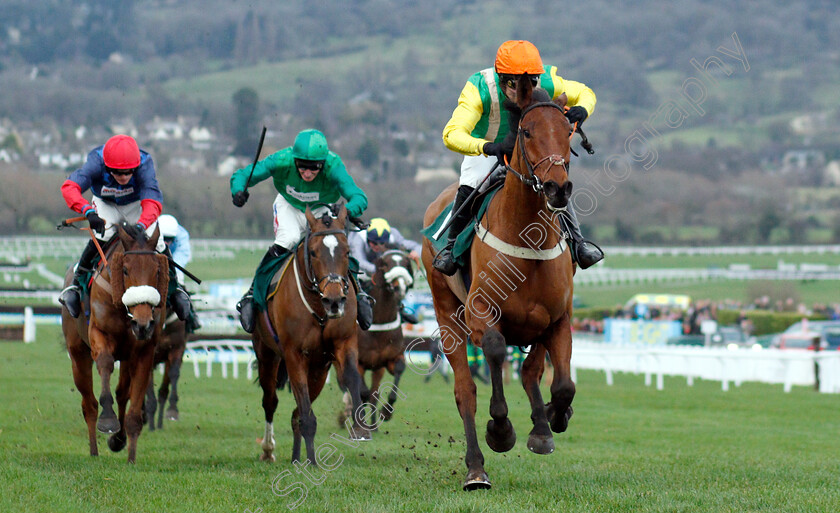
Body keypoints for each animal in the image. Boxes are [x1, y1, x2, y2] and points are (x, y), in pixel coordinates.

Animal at [61, 222, 171, 462]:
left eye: (157, 270)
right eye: (126, 269)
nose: (142, 323)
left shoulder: (144, 350)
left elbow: (133, 407)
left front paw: (130, 456)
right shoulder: (99, 334)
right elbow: (104, 362)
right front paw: (108, 419)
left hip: (127, 356)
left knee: (122, 394)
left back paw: (118, 440)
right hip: (77, 354)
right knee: (89, 404)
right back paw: (94, 450)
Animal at [249, 205, 368, 464]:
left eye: (347, 251)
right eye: (313, 252)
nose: (334, 300)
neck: (318, 307)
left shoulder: (343, 343)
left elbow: (352, 377)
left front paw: (360, 427)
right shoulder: (294, 353)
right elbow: (304, 411)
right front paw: (312, 462)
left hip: (319, 370)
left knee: (296, 413)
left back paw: (296, 457)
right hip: (267, 354)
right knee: (270, 401)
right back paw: (268, 450)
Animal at [352, 251, 414, 424]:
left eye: (405, 263)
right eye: (386, 264)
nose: (400, 287)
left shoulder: (392, 358)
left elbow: (398, 372)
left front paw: (386, 412)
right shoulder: (358, 362)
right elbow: (363, 394)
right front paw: (362, 423)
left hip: (377, 368)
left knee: (374, 394)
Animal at [420, 77, 576, 488]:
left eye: (567, 131)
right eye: (526, 131)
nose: (557, 188)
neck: (528, 238)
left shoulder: (557, 318)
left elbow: (561, 385)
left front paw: (552, 419)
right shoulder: (480, 313)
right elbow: (493, 350)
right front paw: (502, 430)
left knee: (530, 372)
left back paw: (543, 426)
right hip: (446, 312)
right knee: (465, 391)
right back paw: (476, 469)